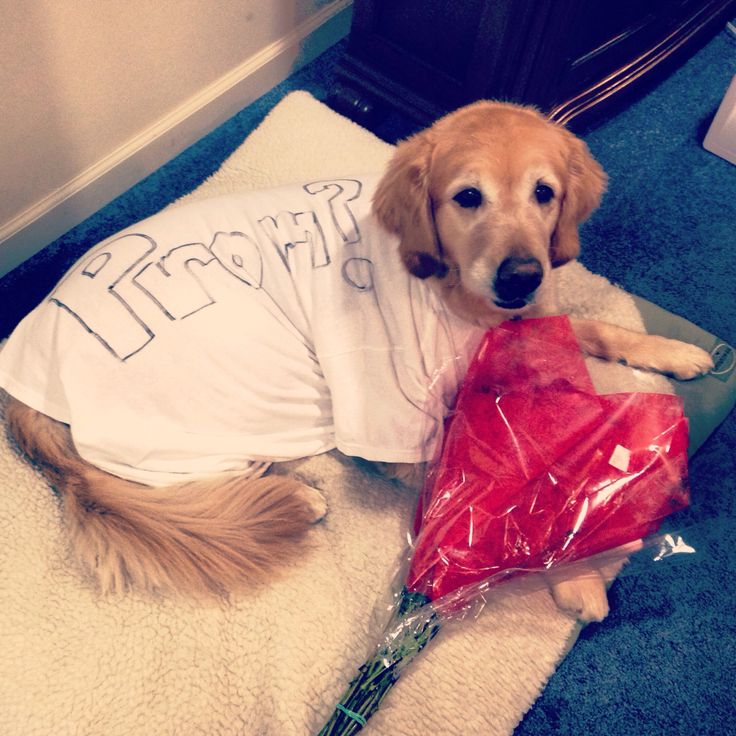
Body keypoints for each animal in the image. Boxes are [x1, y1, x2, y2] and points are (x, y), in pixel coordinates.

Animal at [0, 102, 712, 620]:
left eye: (545, 192)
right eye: (467, 197)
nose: (520, 276)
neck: (451, 288)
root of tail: (27, 382)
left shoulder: (531, 320)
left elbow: (592, 328)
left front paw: (674, 352)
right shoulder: (403, 430)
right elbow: (506, 489)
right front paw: (576, 571)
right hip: (267, 374)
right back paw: (293, 492)